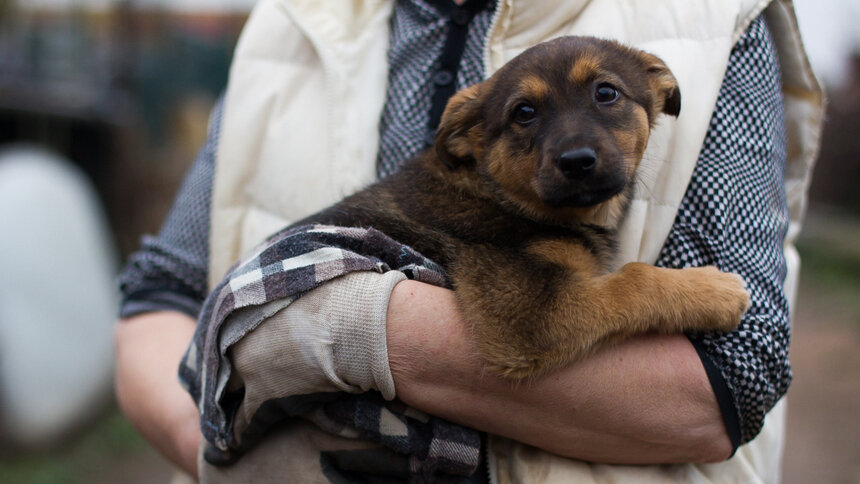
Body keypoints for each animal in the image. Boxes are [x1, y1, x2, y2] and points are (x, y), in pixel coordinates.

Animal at [294, 36, 744, 378]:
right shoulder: (527, 316)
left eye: (606, 93)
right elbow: (634, 281)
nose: (577, 161)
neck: (501, 193)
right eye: (523, 112)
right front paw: (714, 290)